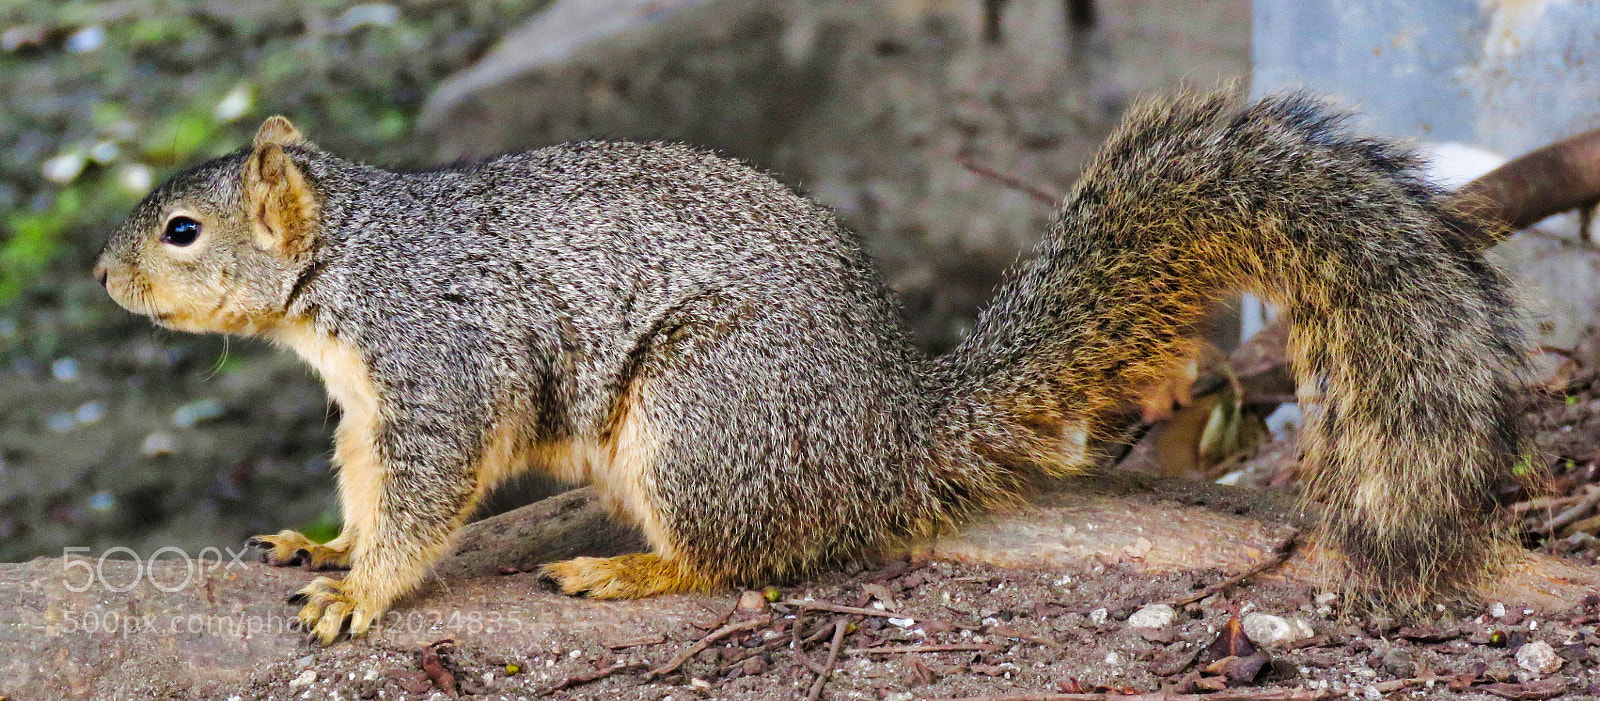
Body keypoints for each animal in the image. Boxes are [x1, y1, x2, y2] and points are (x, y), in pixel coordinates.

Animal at [96, 90, 1531, 644]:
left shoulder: (437, 364)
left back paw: (628, 567)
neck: (349, 268)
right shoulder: (363, 403)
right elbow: (362, 487)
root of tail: (887, 436)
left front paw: (360, 594)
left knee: (750, 555)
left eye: (182, 230)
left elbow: (424, 494)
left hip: (702, 416)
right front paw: (320, 544)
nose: (105, 278)